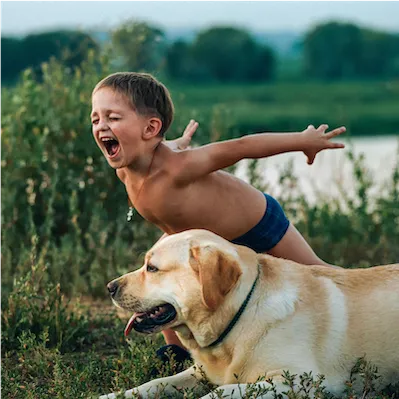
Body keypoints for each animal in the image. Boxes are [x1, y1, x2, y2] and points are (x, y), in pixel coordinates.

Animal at [101, 230, 399, 398]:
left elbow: (220, 392)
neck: (241, 315)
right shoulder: (198, 372)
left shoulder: (299, 379)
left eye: (152, 268)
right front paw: (112, 395)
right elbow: (154, 383)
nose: (110, 287)